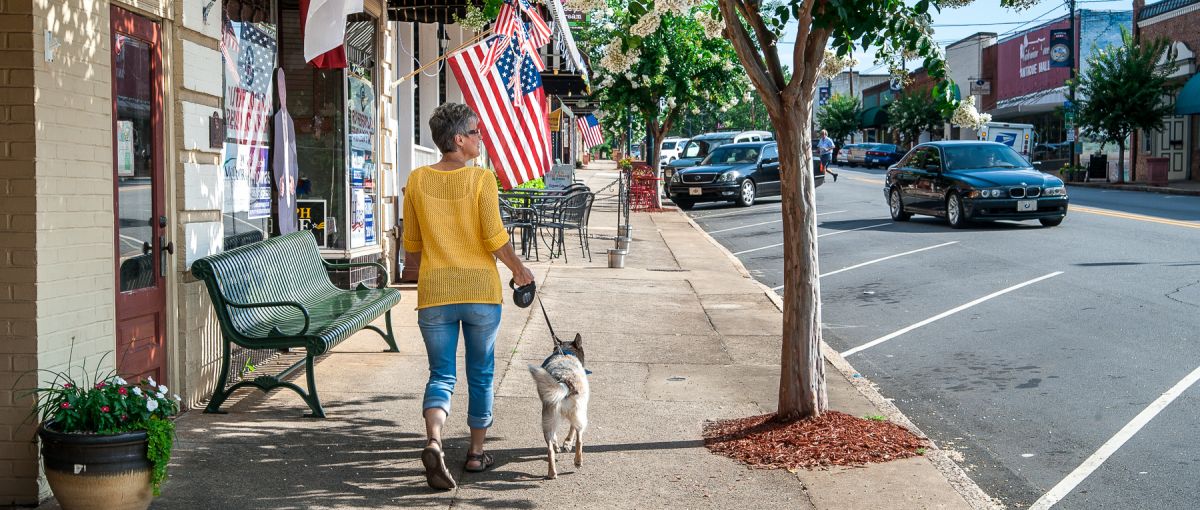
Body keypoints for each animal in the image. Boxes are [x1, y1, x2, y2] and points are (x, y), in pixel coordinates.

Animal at [528, 331, 588, 480]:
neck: (565, 352)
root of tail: (564, 380)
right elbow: (572, 430)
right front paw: (568, 443)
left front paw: (563, 444)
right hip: (579, 413)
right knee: (579, 438)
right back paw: (578, 461)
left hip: (548, 419)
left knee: (550, 448)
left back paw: (552, 472)